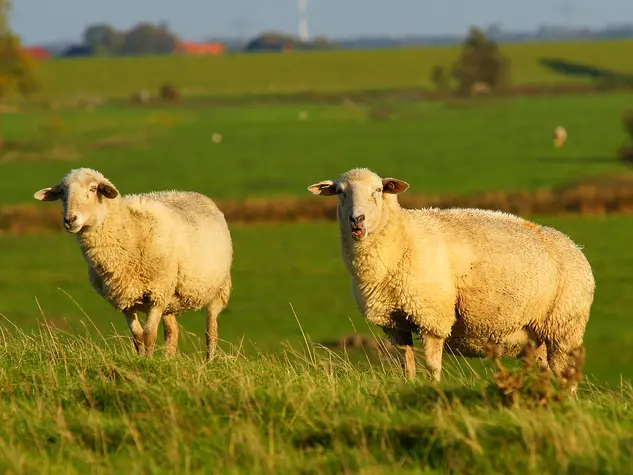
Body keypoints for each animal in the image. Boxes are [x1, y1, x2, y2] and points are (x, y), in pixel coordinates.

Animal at [308, 167, 596, 394]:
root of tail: (575, 246)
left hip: (565, 326)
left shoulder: (432, 316)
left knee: (566, 374)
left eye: (378, 190)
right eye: (340, 192)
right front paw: (409, 386)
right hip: (534, 335)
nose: (357, 219)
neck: (402, 238)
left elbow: (432, 364)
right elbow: (406, 364)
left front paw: (433, 390)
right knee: (544, 371)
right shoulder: (394, 322)